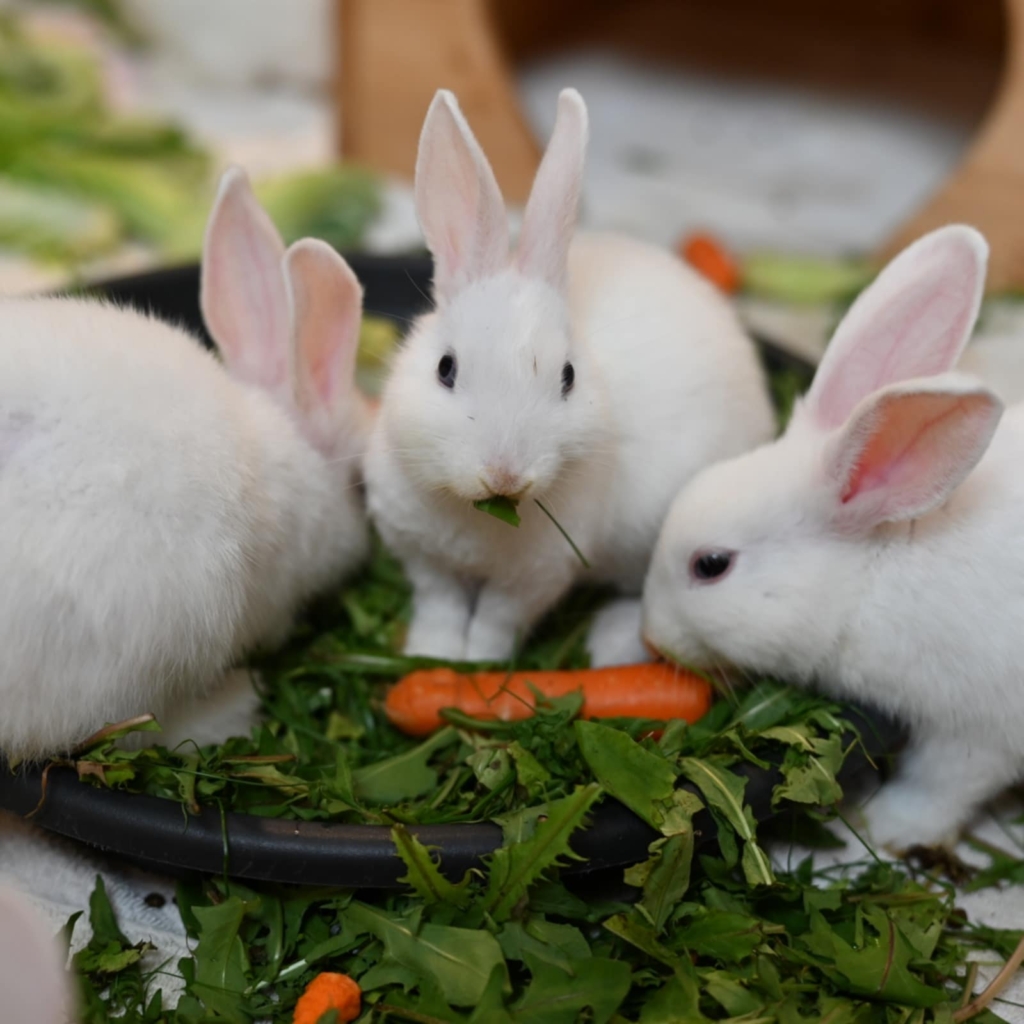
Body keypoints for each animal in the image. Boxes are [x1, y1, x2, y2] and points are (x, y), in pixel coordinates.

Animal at [363, 87, 775, 666]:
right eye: (445, 368)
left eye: (568, 376)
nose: (505, 476)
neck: (477, 515)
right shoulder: (425, 561)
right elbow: (441, 608)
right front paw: (434, 655)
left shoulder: (535, 578)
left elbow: (495, 621)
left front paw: (478, 666)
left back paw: (611, 643)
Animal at [640, 222, 1024, 851]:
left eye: (712, 564)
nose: (650, 638)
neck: (874, 570)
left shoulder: (973, 727)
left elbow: (941, 786)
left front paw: (886, 825)